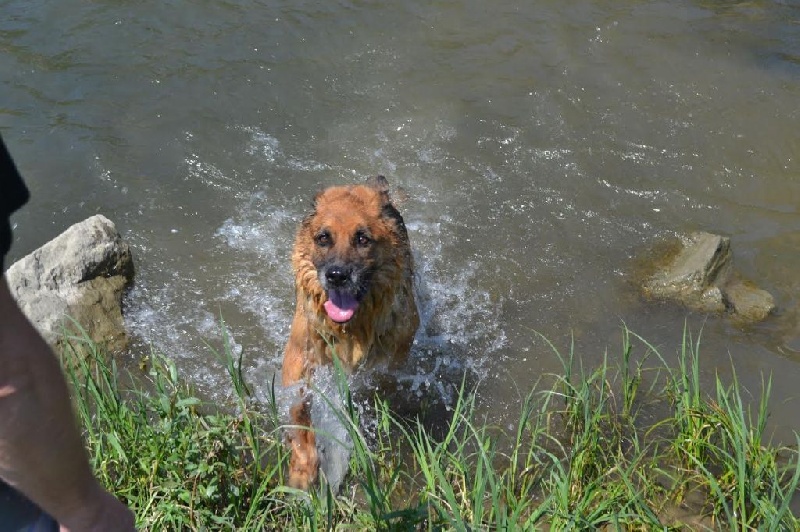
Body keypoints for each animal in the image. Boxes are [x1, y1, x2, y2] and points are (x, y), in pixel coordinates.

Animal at [282, 176, 418, 490]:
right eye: (323, 238)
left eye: (362, 239)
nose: (336, 275)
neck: (348, 329)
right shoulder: (297, 364)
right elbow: (299, 414)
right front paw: (303, 468)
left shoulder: (386, 366)